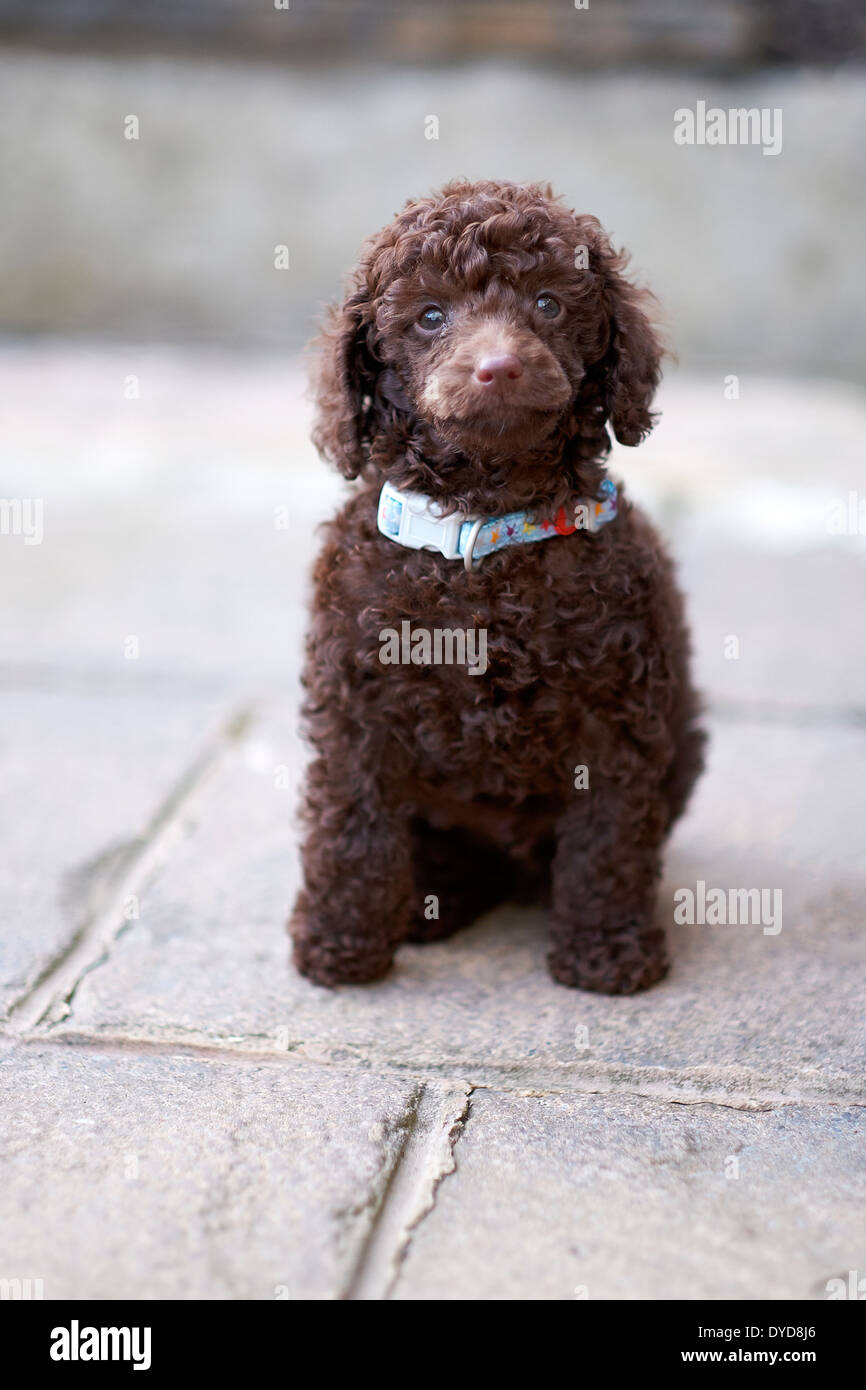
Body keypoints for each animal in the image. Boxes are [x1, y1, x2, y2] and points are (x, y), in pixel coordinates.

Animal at [291, 179, 706, 995]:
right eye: (429, 315)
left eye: (547, 303)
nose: (499, 367)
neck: (483, 531)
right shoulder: (355, 699)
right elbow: (350, 825)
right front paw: (340, 943)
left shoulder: (615, 712)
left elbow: (608, 837)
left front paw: (607, 950)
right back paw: (432, 902)